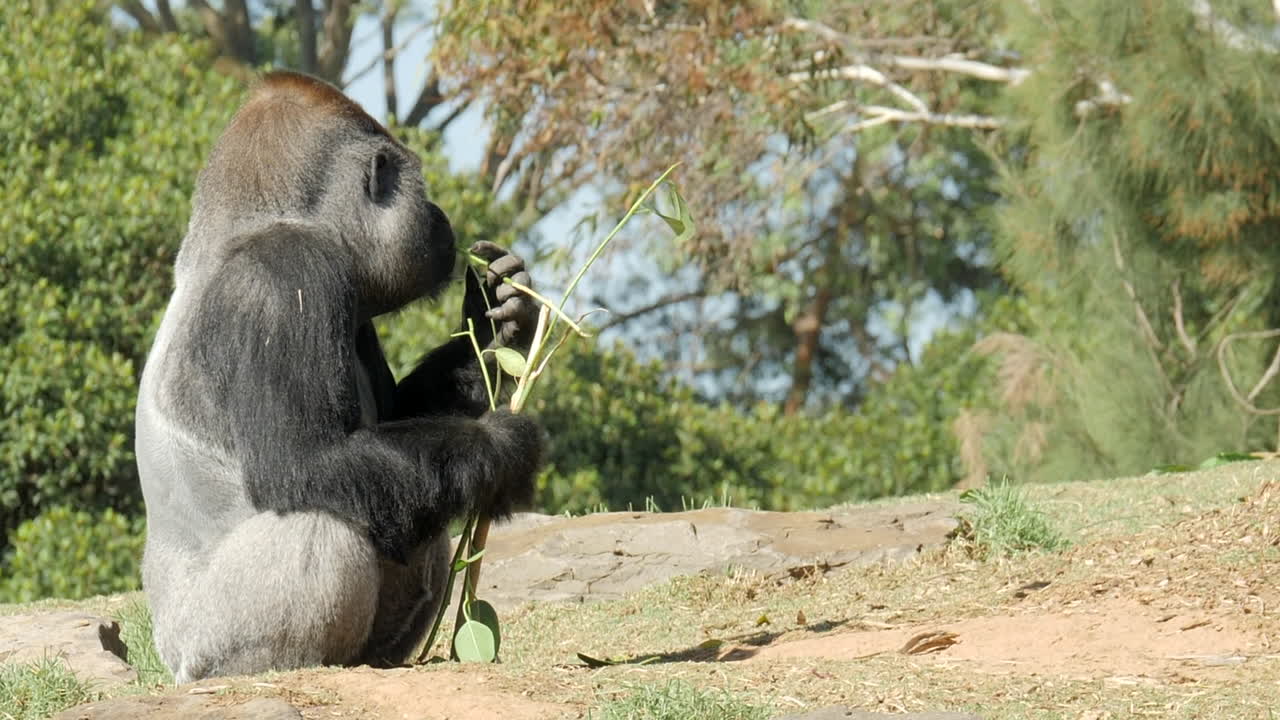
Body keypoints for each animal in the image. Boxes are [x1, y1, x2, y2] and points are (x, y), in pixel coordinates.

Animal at [134, 71, 543, 683]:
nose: (439, 213)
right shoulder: (287, 273)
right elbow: (306, 463)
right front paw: (502, 448)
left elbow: (408, 423)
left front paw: (495, 324)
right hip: (204, 645)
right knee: (321, 523)